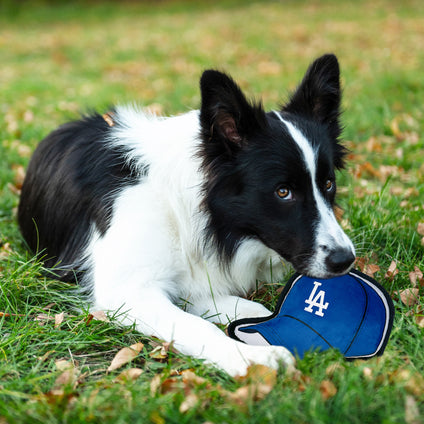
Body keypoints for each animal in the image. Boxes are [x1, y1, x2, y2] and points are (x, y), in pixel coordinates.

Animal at [19, 54, 354, 376]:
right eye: (283, 192)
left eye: (328, 184)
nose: (345, 260)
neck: (187, 212)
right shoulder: (127, 291)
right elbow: (198, 326)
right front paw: (249, 358)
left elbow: (251, 309)